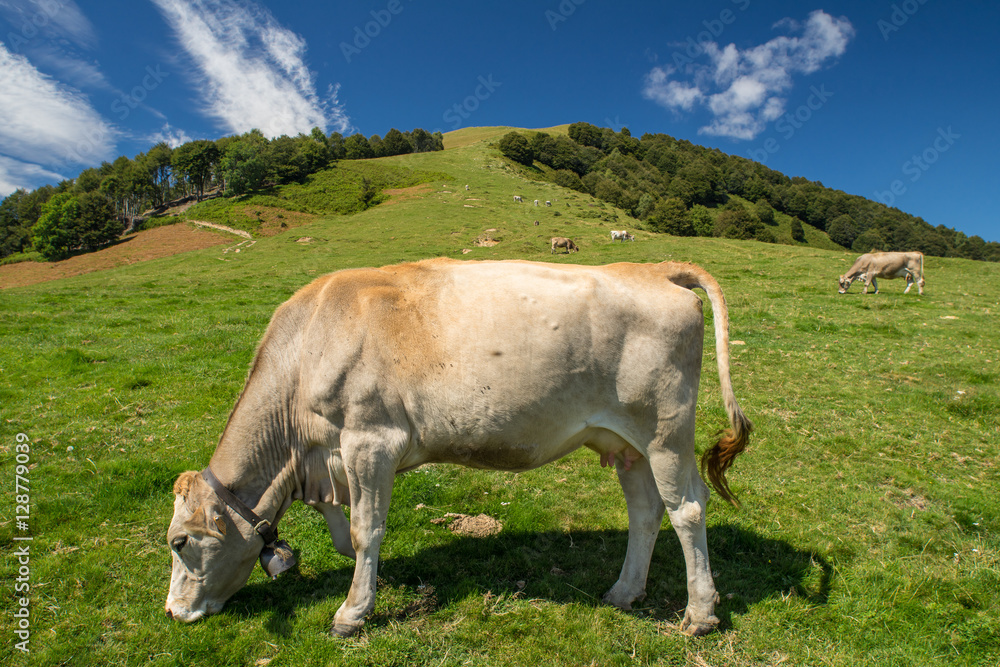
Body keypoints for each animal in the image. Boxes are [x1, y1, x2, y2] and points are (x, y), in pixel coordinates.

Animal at [164, 258, 752, 638]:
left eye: (179, 542)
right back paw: (625, 592)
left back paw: (700, 614)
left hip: (664, 433)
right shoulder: (332, 457)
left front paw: (351, 614)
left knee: (687, 510)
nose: (172, 613)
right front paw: (373, 587)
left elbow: (363, 529)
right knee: (647, 511)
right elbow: (345, 536)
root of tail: (652, 268)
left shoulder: (369, 441)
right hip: (626, 443)